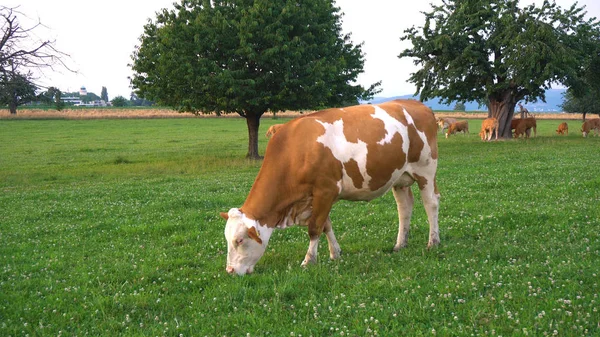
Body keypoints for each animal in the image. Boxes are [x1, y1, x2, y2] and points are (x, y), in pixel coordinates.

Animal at [220, 98, 440, 274]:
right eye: (227, 238)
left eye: (239, 240)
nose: (230, 271)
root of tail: (417, 104)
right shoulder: (314, 197)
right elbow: (326, 225)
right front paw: (335, 253)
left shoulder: (326, 190)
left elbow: (315, 228)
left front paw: (309, 260)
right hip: (399, 177)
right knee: (404, 207)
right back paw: (400, 244)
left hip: (426, 170)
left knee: (431, 203)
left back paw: (433, 242)